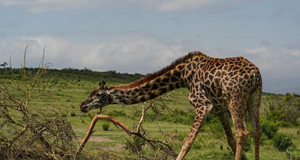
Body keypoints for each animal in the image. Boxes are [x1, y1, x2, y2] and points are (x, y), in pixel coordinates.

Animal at [80, 51, 262, 160]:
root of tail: (254, 72)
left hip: (235, 98)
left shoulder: (203, 105)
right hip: (254, 96)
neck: (183, 76)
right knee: (256, 131)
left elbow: (188, 142)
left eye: (97, 95)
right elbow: (230, 141)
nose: (82, 105)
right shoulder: (220, 110)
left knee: (243, 132)